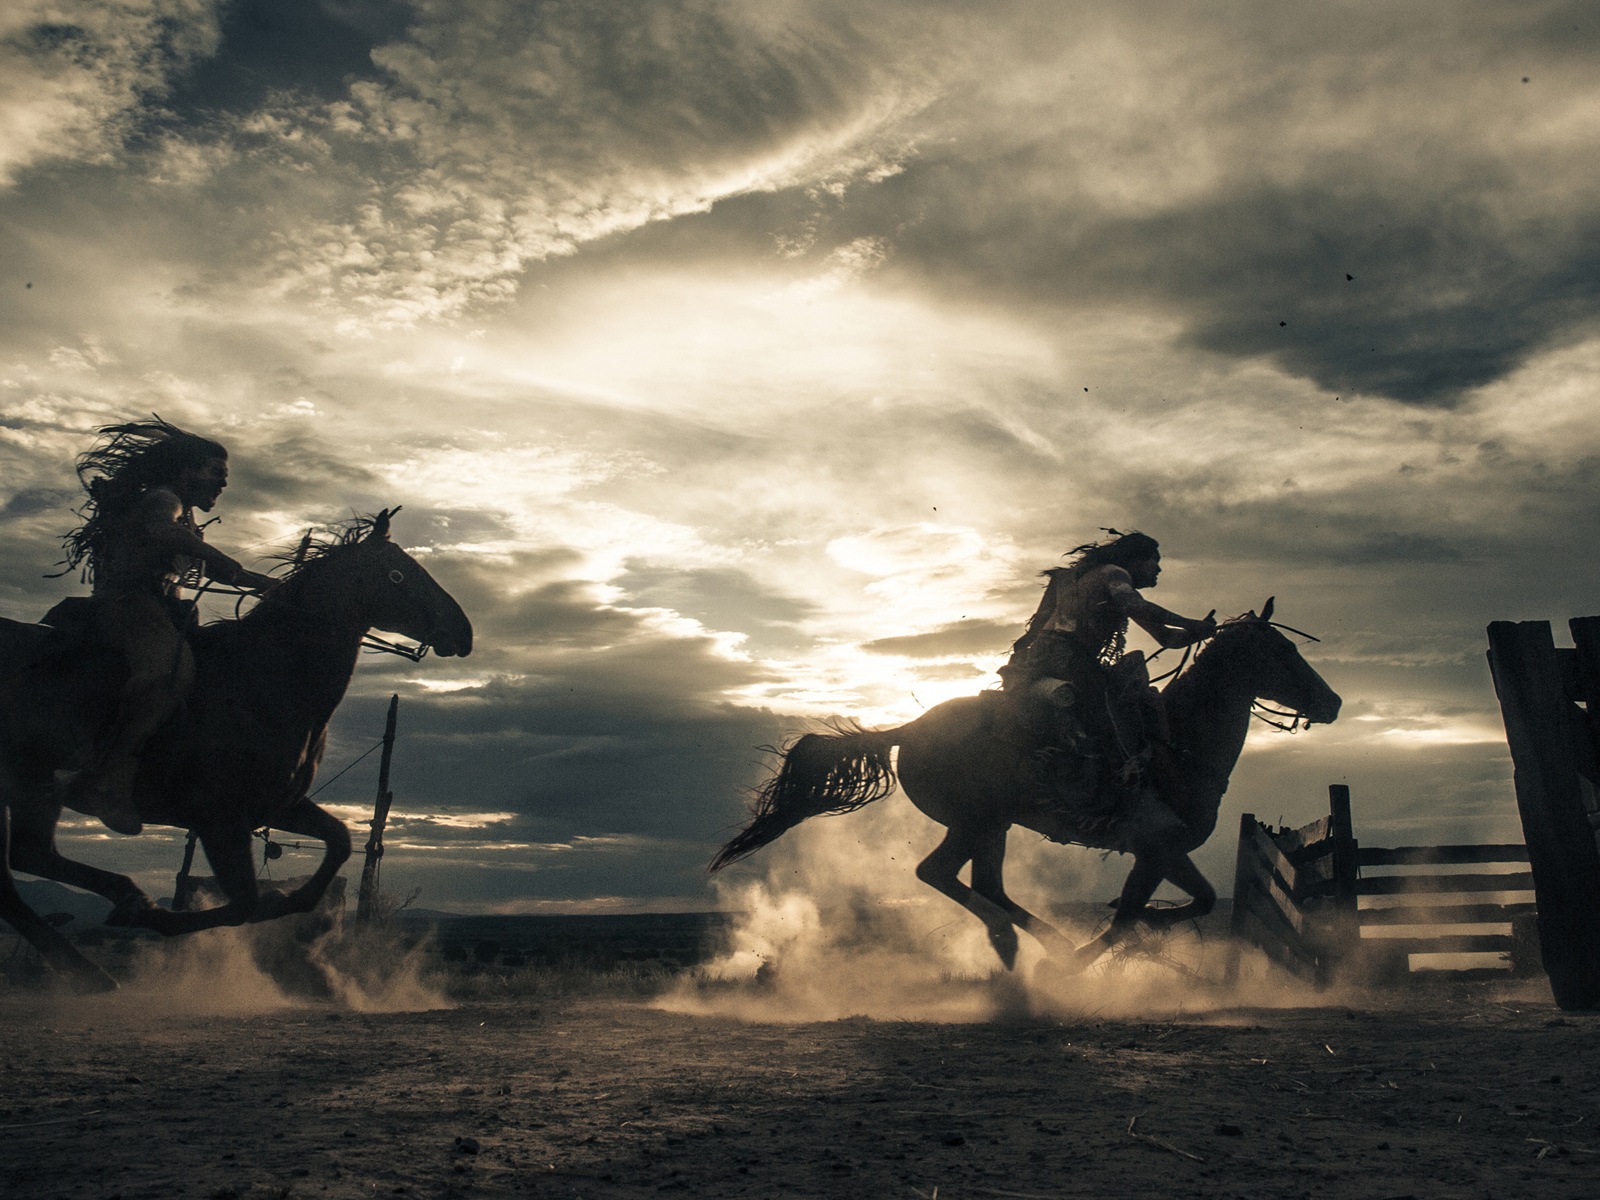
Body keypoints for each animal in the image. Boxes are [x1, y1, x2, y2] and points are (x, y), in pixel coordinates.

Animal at [0, 512, 470, 992]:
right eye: (398, 574)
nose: (464, 631)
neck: (258, 681)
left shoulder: (277, 805)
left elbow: (337, 842)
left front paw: (300, 910)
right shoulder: (219, 817)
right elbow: (246, 902)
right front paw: (160, 916)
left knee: (15, 875)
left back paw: (89, 965)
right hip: (33, 784)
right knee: (30, 856)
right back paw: (122, 914)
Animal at [713, 604, 1337, 972]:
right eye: (1284, 651)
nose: (1332, 702)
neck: (1176, 742)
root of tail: (911, 729)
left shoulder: (1165, 851)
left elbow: (1197, 899)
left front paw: (1142, 931)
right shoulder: (1153, 849)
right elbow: (1130, 915)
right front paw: (1100, 950)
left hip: (993, 826)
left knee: (982, 882)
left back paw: (1027, 943)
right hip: (978, 820)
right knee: (941, 874)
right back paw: (1026, 944)